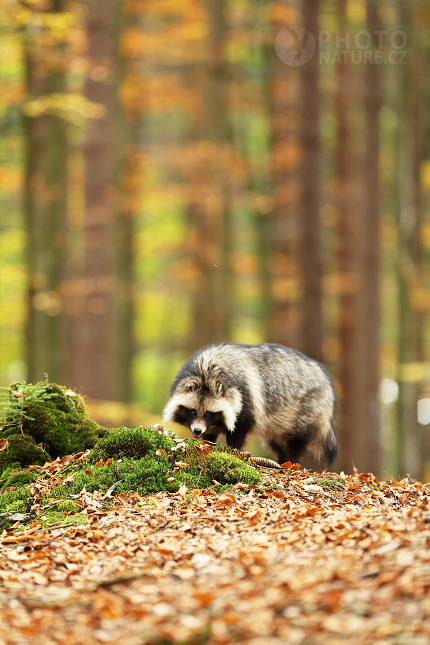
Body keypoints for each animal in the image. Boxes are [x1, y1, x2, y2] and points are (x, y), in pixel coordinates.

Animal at [163, 342, 338, 468]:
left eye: (207, 414)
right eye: (193, 412)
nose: (197, 431)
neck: (206, 372)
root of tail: (325, 377)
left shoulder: (245, 397)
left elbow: (239, 428)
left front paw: (233, 451)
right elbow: (210, 435)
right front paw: (208, 443)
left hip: (307, 409)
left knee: (297, 441)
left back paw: (293, 462)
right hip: (278, 423)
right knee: (277, 443)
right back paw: (282, 461)